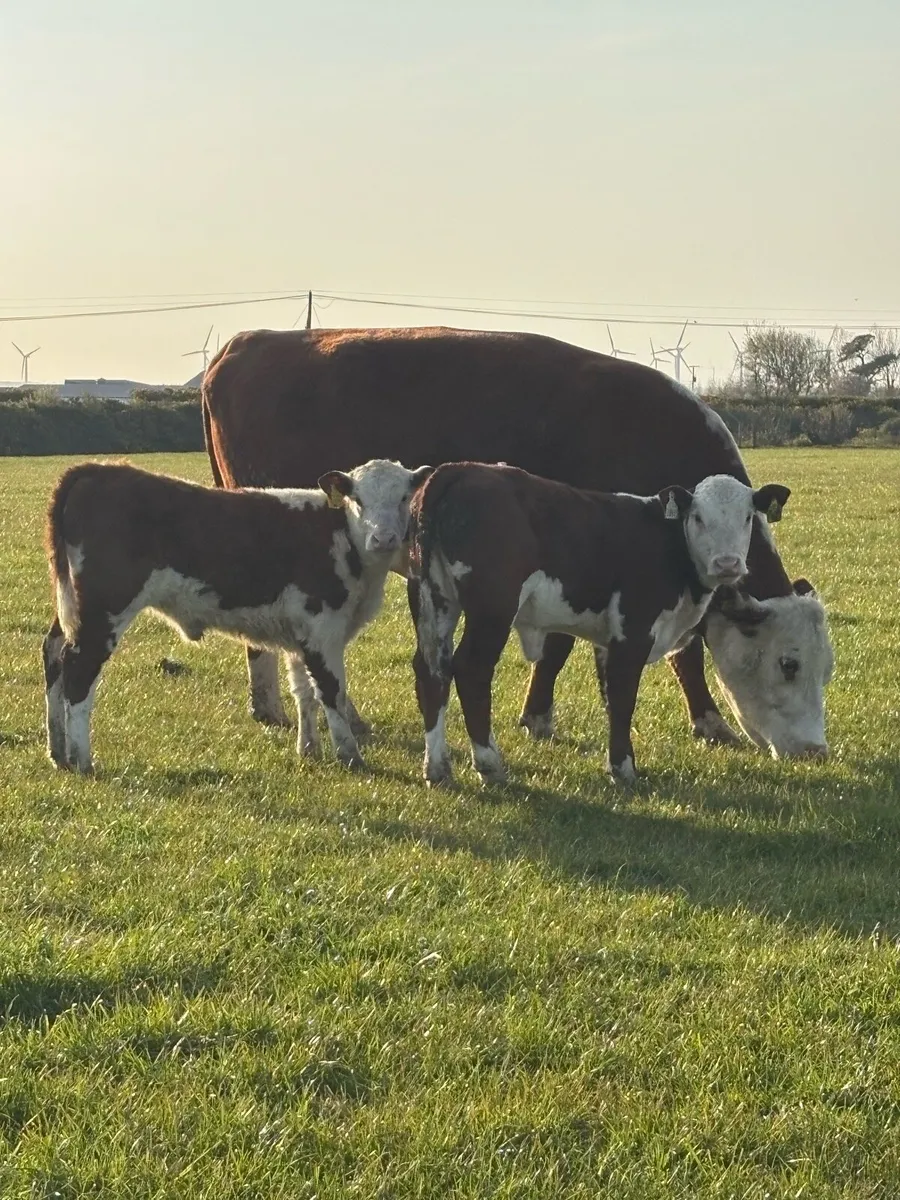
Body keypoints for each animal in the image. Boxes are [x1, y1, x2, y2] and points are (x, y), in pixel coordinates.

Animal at [41, 458, 432, 775]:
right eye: (358, 500)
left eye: (403, 498)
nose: (383, 538)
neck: (341, 536)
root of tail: (96, 470)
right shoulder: (323, 632)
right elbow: (331, 692)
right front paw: (350, 756)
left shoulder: (300, 634)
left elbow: (303, 691)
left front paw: (308, 749)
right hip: (105, 609)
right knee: (78, 669)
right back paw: (82, 759)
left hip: (73, 607)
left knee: (54, 654)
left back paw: (59, 752)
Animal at [408, 464, 801, 785]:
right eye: (698, 518)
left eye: (748, 517)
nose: (727, 563)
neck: (670, 545)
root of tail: (457, 470)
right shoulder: (633, 631)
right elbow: (624, 697)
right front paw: (623, 768)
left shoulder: (608, 640)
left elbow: (611, 699)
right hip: (492, 610)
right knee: (471, 669)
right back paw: (489, 763)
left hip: (432, 599)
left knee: (431, 670)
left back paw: (437, 768)